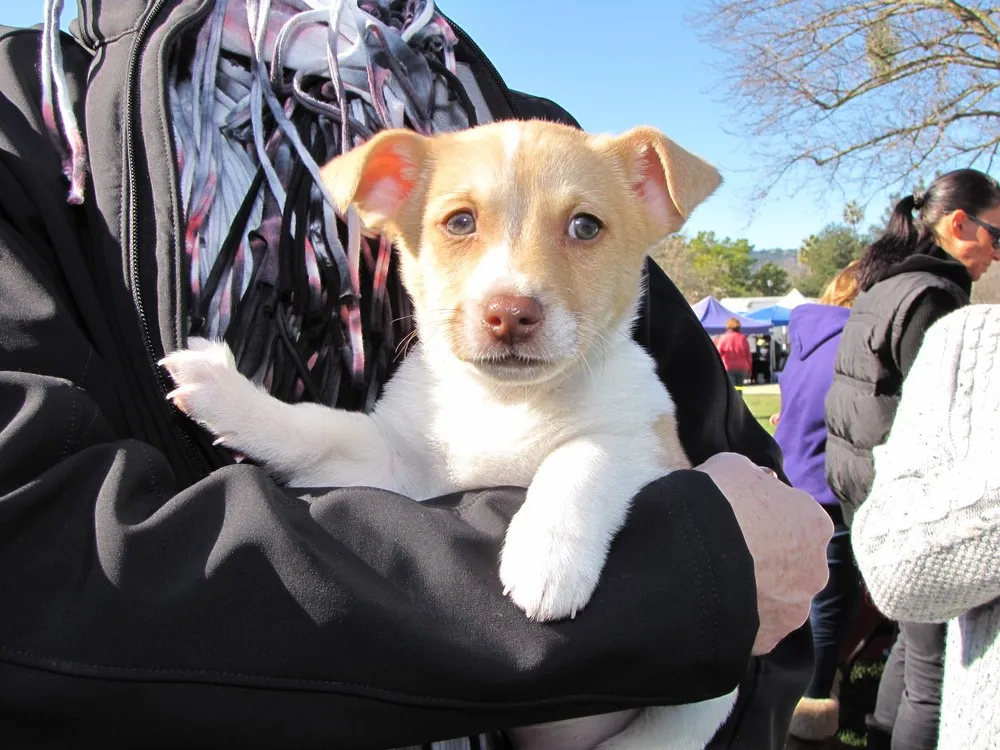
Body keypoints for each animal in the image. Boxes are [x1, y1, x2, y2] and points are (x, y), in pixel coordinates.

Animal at [162, 120, 736, 748]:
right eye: (460, 222)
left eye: (585, 226)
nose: (509, 313)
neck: (504, 404)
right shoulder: (391, 465)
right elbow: (313, 427)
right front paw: (227, 392)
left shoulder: (652, 444)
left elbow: (583, 454)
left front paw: (546, 557)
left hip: (705, 702)